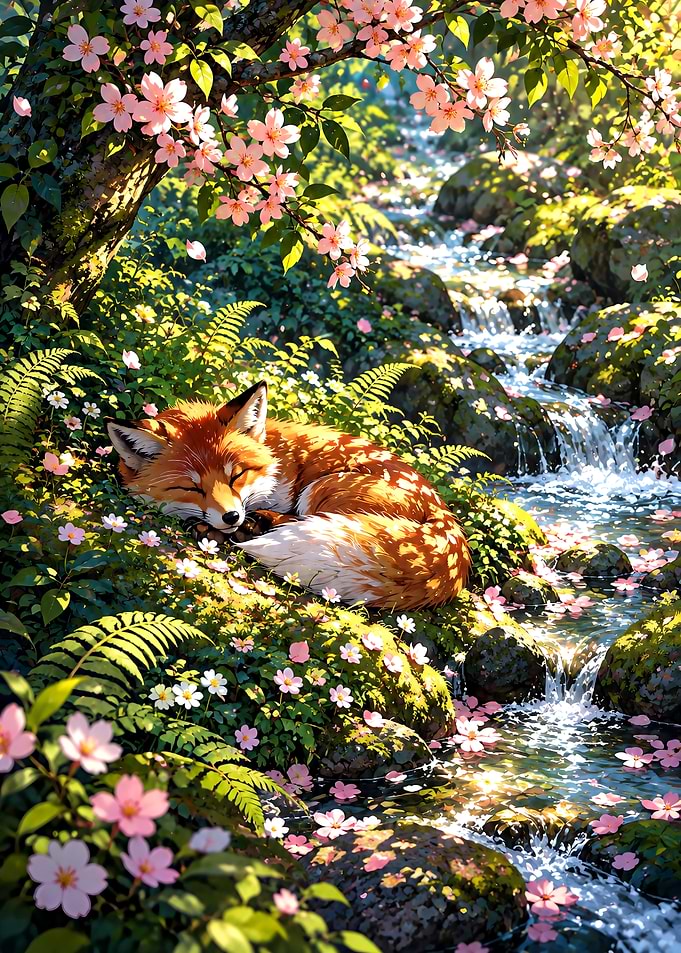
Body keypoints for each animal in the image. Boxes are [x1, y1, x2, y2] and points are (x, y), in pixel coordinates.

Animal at [106, 381, 470, 610]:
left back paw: (255, 527)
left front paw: (237, 525)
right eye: (192, 488)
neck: (277, 459)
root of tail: (447, 522)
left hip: (323, 487)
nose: (231, 516)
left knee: (304, 519)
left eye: (236, 475)